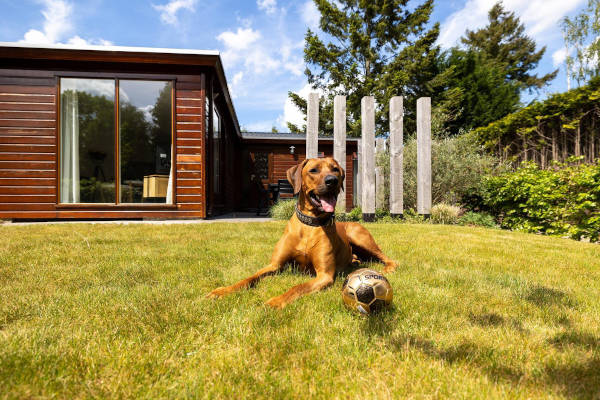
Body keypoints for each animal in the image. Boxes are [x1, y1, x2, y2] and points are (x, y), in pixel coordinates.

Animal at [206, 157, 398, 310]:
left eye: (335, 169)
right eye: (313, 170)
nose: (333, 180)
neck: (310, 225)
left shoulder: (324, 276)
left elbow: (297, 287)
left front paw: (275, 301)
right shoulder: (274, 265)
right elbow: (249, 278)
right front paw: (224, 290)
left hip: (359, 236)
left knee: (385, 256)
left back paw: (389, 267)